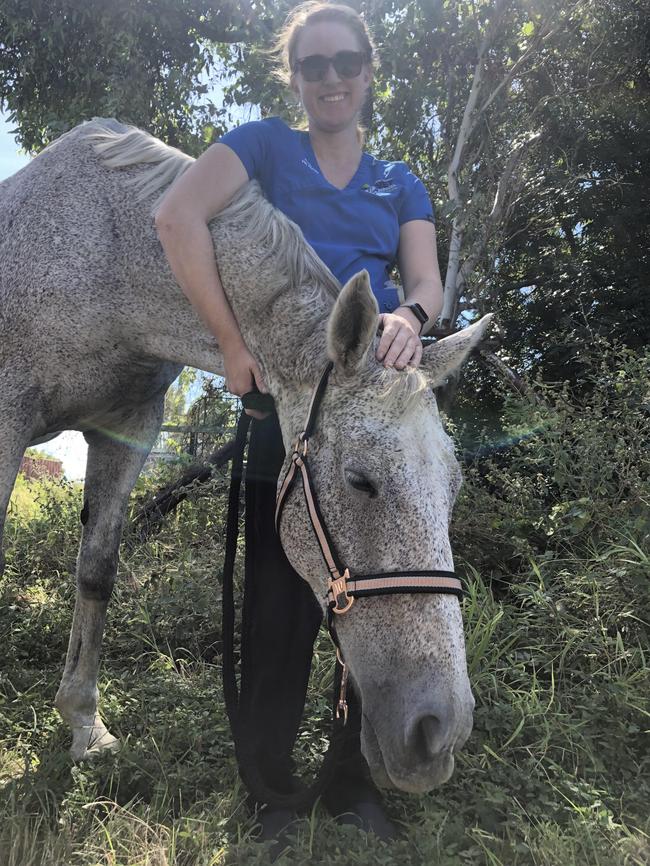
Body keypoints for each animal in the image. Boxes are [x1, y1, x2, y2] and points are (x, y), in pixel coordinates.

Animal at [0, 118, 488, 792]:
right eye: (361, 481)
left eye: (453, 488)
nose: (440, 730)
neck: (106, 255)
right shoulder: (7, 419)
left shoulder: (127, 432)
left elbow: (96, 571)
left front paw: (83, 723)